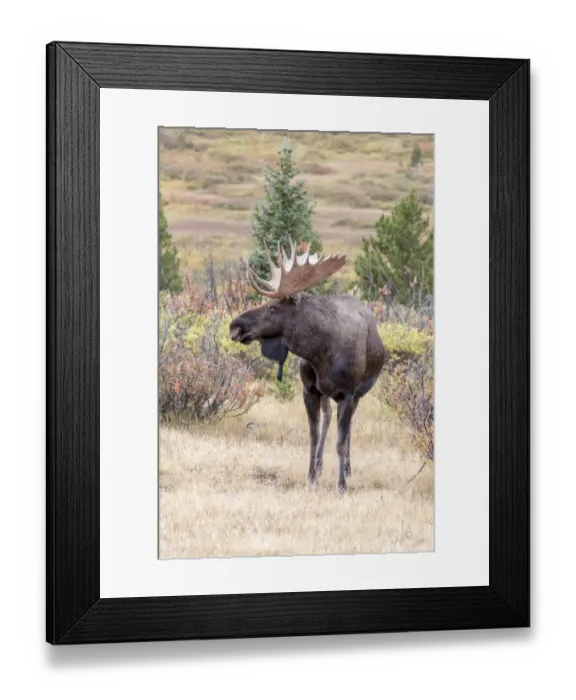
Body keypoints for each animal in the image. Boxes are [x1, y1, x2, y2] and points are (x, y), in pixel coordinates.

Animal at [229, 238, 387, 494]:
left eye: (273, 308)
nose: (235, 325)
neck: (320, 353)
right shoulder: (310, 389)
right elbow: (312, 436)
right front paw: (311, 477)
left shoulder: (348, 393)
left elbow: (341, 441)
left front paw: (341, 485)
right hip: (326, 394)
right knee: (328, 417)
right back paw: (321, 465)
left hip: (359, 393)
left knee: (349, 427)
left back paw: (348, 469)